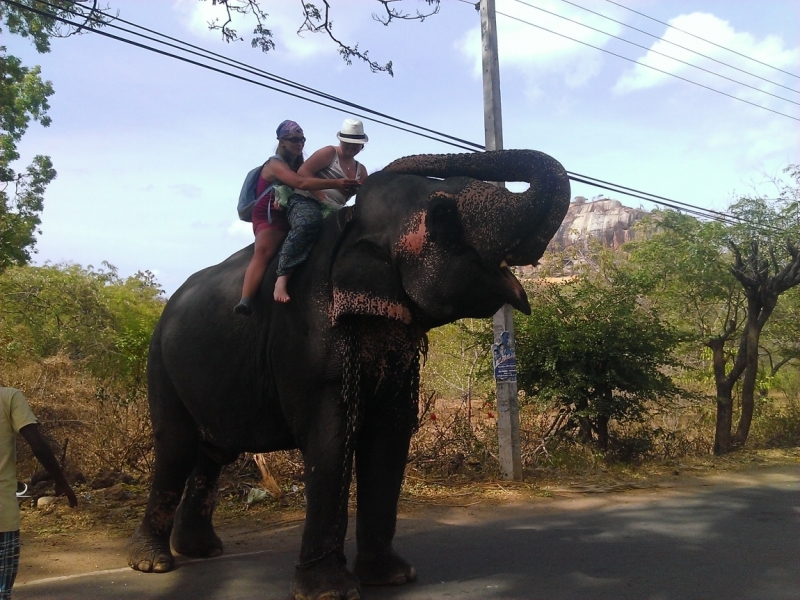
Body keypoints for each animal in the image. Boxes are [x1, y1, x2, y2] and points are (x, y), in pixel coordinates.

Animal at [126, 148, 568, 596]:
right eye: (444, 215)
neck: (348, 228)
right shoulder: (305, 337)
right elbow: (330, 439)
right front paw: (329, 591)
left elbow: (390, 435)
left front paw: (393, 577)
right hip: (159, 363)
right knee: (176, 445)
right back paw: (151, 563)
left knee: (214, 450)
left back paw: (200, 550)